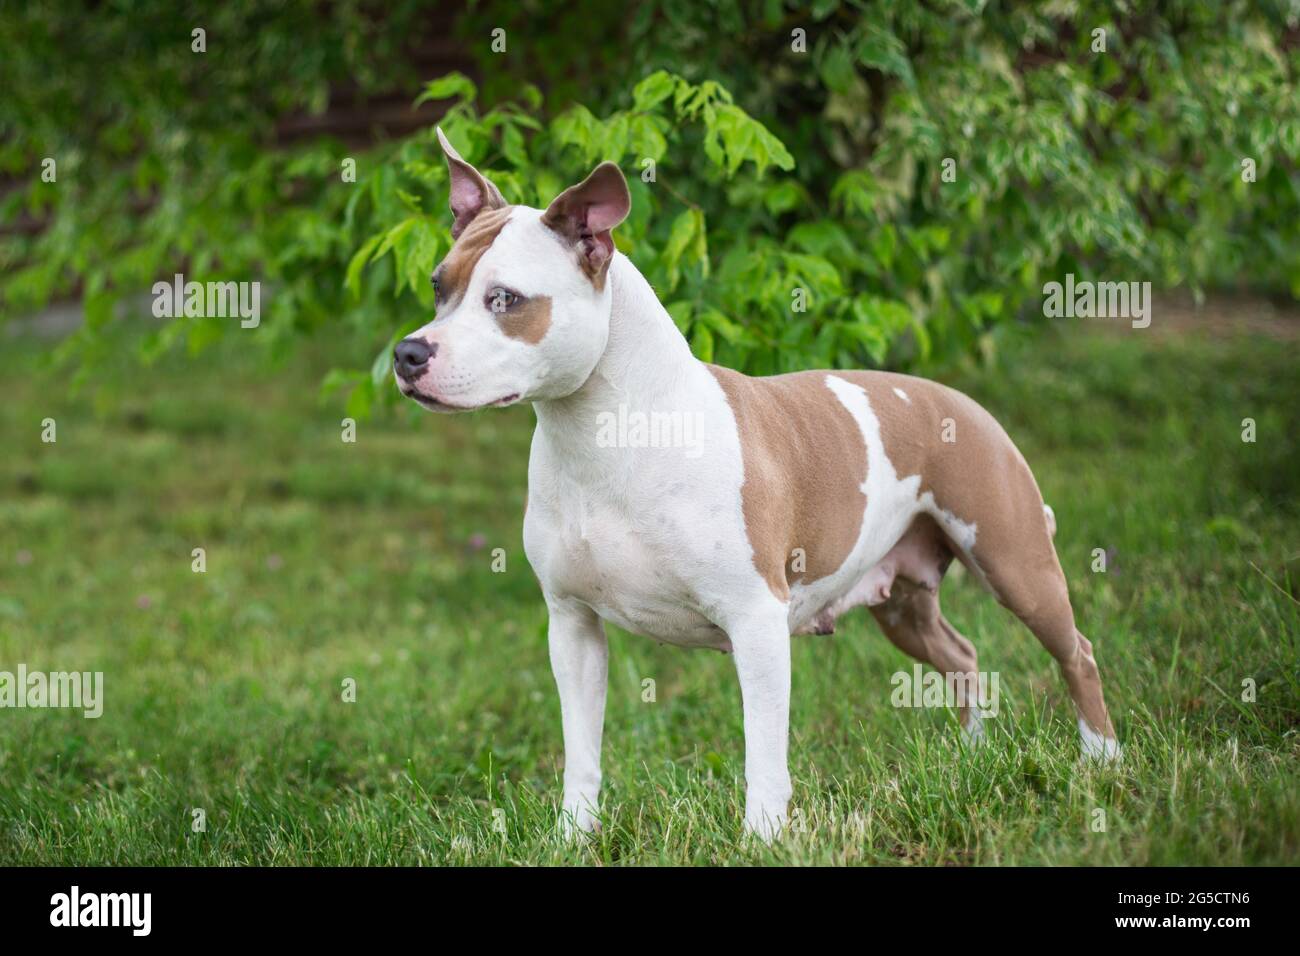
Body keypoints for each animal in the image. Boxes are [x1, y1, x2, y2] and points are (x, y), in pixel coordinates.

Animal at [392, 130, 1118, 842]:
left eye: (505, 300)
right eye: (437, 286)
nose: (407, 352)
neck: (604, 436)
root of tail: (962, 403)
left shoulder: (756, 621)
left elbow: (763, 751)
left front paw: (763, 837)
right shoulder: (572, 626)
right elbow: (582, 750)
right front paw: (575, 836)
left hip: (1015, 562)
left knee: (1077, 652)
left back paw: (1102, 761)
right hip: (904, 602)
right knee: (963, 657)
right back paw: (973, 758)